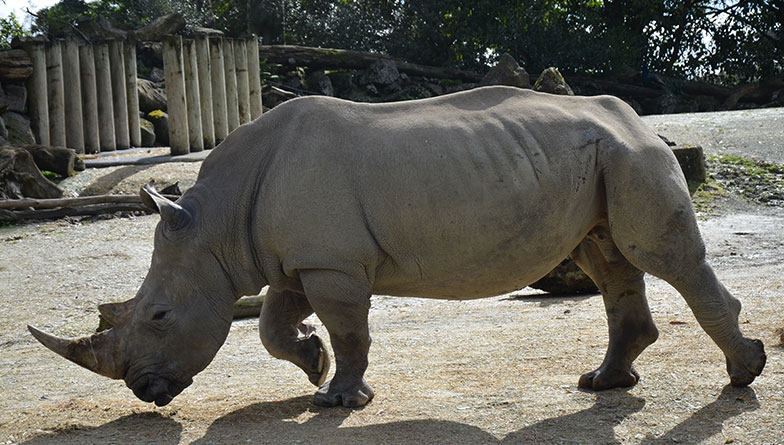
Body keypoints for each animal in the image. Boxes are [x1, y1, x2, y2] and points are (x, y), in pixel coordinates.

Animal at [29, 86, 766, 408]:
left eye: (158, 315)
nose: (144, 391)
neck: (216, 223)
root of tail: (637, 118)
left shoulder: (332, 265)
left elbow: (350, 329)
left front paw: (339, 398)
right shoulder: (298, 259)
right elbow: (271, 323)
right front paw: (313, 367)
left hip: (633, 155)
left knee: (661, 258)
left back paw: (743, 375)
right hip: (602, 160)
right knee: (606, 259)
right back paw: (603, 383)